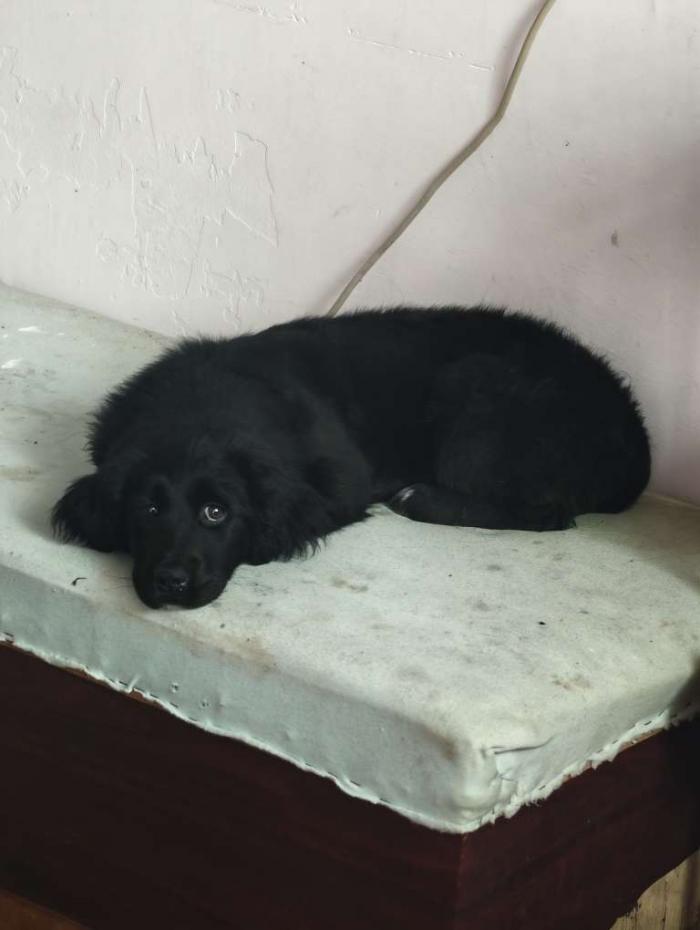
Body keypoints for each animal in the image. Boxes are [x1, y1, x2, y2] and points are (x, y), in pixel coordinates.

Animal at [52, 307, 651, 609]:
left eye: (216, 513)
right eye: (147, 510)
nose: (172, 582)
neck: (205, 406)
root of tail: (637, 441)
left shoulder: (340, 484)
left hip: (474, 387)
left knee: (548, 513)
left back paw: (422, 497)